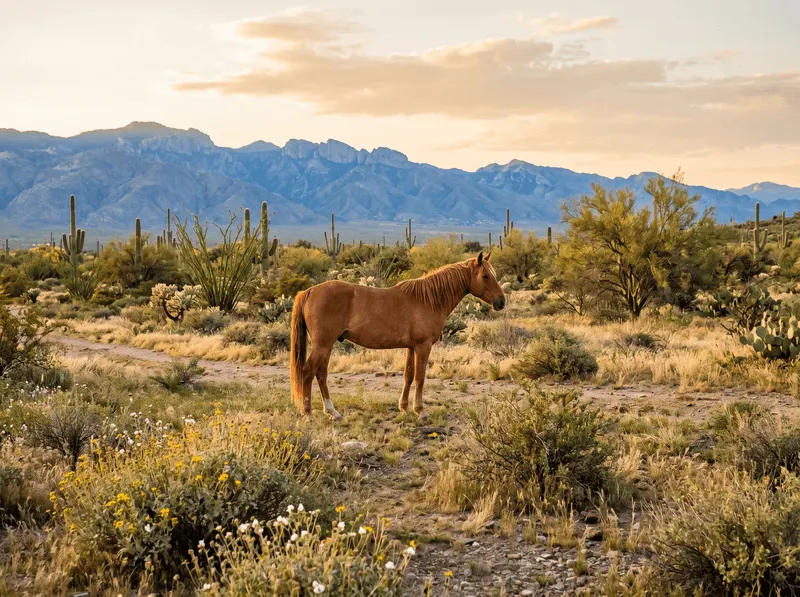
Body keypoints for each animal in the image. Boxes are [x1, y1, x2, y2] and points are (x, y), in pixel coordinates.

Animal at [290, 252, 505, 419]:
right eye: (486, 276)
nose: (501, 302)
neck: (428, 300)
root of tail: (309, 291)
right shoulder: (423, 346)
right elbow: (420, 377)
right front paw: (420, 410)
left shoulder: (411, 347)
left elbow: (408, 376)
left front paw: (404, 408)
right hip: (323, 345)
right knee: (308, 372)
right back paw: (307, 412)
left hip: (327, 345)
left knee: (321, 374)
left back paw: (332, 412)